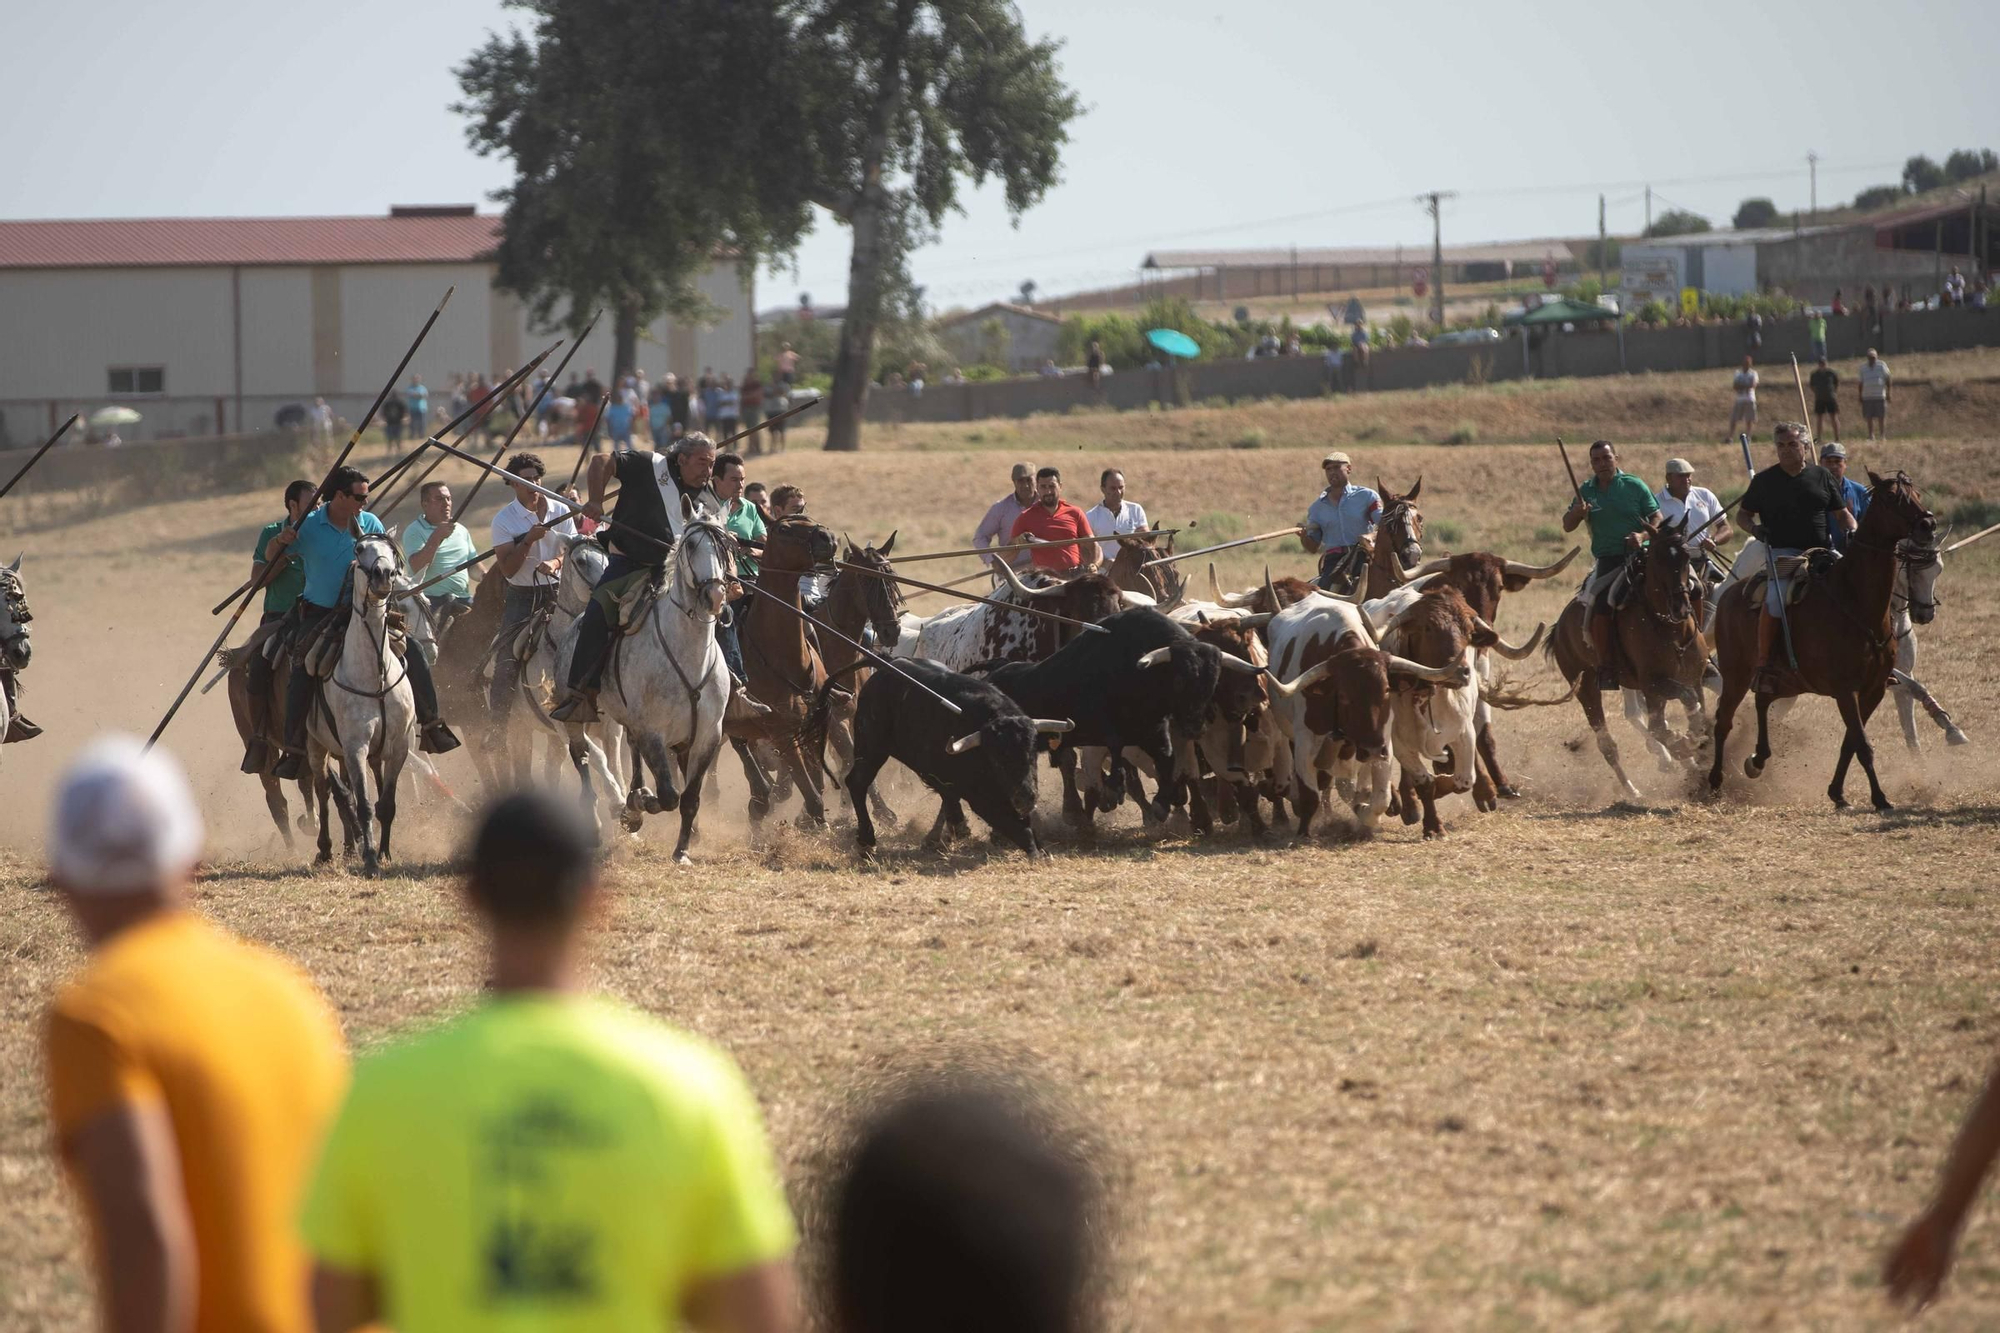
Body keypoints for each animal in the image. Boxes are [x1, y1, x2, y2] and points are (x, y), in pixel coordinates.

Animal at [302, 528, 412, 872]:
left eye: (391, 551)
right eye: (360, 548)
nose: (383, 575)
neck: (374, 674)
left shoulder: (399, 746)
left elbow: (386, 804)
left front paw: (385, 852)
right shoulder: (355, 747)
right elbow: (363, 804)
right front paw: (371, 858)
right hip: (316, 746)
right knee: (323, 790)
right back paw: (326, 849)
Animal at [556, 500, 736, 860]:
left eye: (725, 546)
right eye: (691, 545)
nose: (714, 595)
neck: (689, 655)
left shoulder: (708, 735)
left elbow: (690, 798)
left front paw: (682, 850)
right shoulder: (653, 731)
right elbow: (668, 794)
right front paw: (640, 805)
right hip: (575, 716)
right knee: (582, 756)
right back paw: (599, 821)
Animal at [740, 512, 840, 824]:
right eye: (783, 529)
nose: (828, 538)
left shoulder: (816, 723)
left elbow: (817, 784)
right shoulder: (782, 732)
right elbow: (812, 795)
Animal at [1552, 512, 1712, 792]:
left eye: (1685, 556)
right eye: (1657, 559)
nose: (1681, 607)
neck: (1671, 629)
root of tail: (1559, 627)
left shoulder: (1692, 677)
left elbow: (1696, 708)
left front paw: (1692, 746)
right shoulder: (1654, 683)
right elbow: (1684, 705)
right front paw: (1685, 743)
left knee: (1653, 724)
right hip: (1586, 689)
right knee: (1608, 743)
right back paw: (1632, 789)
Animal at [1704, 466, 1936, 808]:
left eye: (1917, 494)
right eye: (1892, 496)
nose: (1927, 524)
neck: (1855, 601)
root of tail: (1730, 594)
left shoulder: (1874, 690)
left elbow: (1851, 742)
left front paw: (1838, 792)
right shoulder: (1845, 690)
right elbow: (1862, 745)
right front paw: (1879, 797)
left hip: (1784, 681)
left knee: (1761, 702)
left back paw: (1758, 759)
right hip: (1736, 674)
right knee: (1723, 720)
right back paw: (1715, 781)